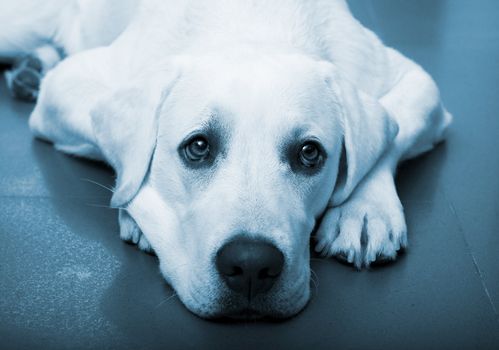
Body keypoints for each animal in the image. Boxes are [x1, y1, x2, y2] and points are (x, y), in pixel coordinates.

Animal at [0, 0, 454, 318]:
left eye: (310, 153)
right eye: (198, 147)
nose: (252, 266)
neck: (251, 22)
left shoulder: (416, 81)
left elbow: (392, 128)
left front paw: (364, 209)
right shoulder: (70, 83)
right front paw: (145, 219)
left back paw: (32, 66)